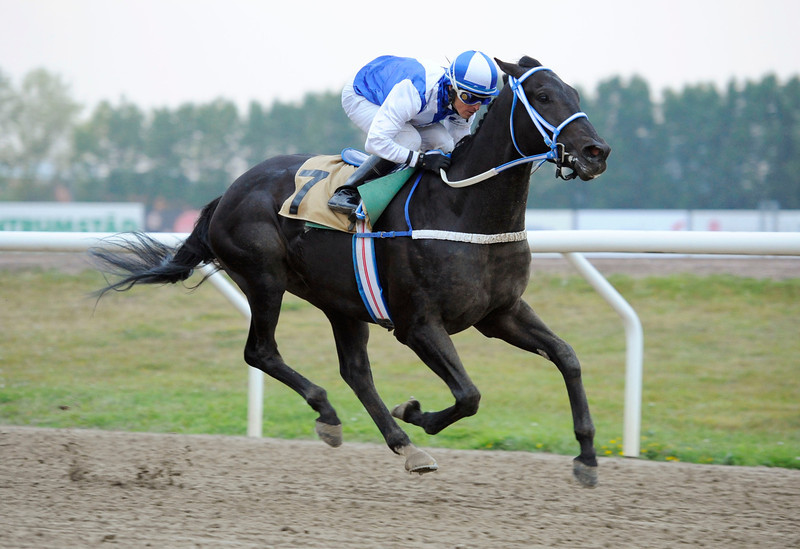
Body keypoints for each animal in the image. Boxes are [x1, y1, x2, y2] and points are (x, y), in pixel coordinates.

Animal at [90, 55, 608, 484]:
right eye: (543, 96)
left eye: (576, 95)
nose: (596, 152)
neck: (463, 209)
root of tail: (230, 191)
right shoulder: (418, 325)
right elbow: (469, 394)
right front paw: (414, 410)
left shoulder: (500, 312)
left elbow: (567, 357)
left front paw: (586, 456)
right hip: (264, 279)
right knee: (261, 351)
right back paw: (331, 415)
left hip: (341, 300)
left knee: (355, 370)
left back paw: (402, 445)